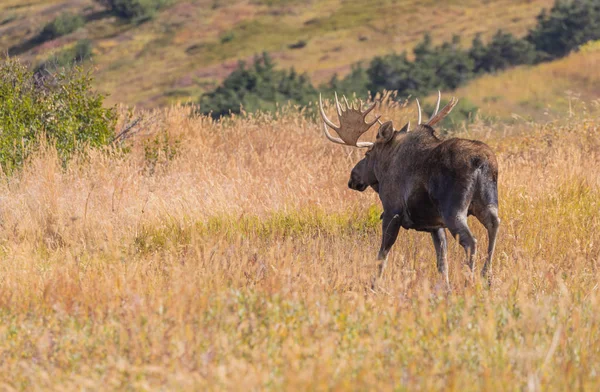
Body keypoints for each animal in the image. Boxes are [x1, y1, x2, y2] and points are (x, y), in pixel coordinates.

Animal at [322, 91, 500, 288]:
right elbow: (442, 260)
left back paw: (470, 280)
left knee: (470, 241)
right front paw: (445, 288)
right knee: (494, 225)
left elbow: (383, 253)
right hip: (487, 202)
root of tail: (481, 162)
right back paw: (487, 275)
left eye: (367, 154)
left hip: (453, 210)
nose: (353, 177)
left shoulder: (392, 211)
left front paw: (374, 285)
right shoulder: (435, 225)